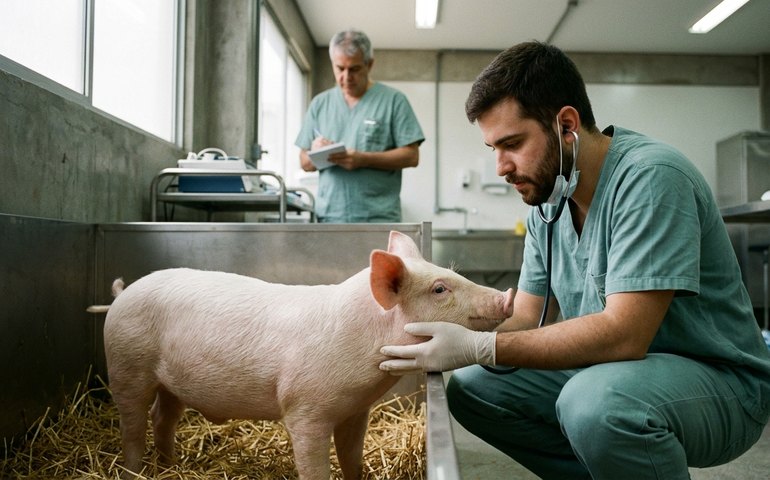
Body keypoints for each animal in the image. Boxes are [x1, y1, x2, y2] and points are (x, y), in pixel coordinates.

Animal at [103, 230, 513, 479]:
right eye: (440, 289)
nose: (507, 296)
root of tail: (123, 293)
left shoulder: (356, 410)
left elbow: (351, 457)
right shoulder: (305, 410)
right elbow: (315, 466)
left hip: (171, 382)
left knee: (163, 418)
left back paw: (170, 465)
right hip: (127, 364)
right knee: (133, 424)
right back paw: (135, 470)